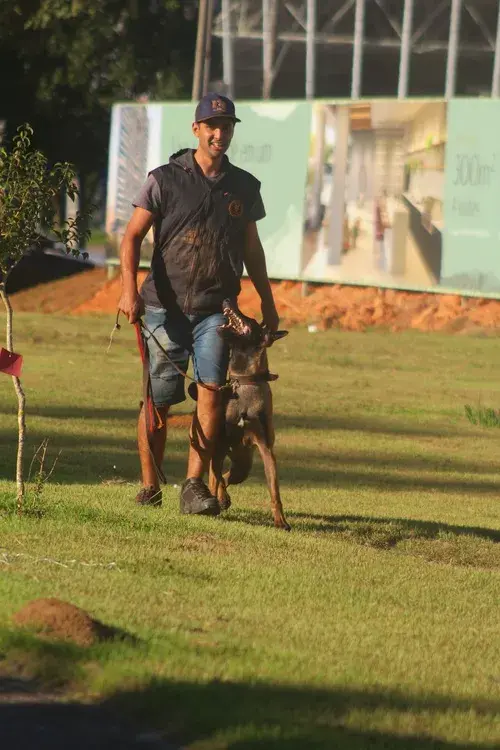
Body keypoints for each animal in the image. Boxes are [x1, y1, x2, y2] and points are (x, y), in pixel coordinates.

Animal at [209, 296, 292, 532]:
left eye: (252, 321)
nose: (227, 298)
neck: (245, 382)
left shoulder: (265, 449)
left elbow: (275, 492)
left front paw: (280, 521)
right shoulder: (220, 442)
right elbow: (216, 476)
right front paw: (220, 498)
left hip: (243, 467)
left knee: (228, 475)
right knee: (217, 476)